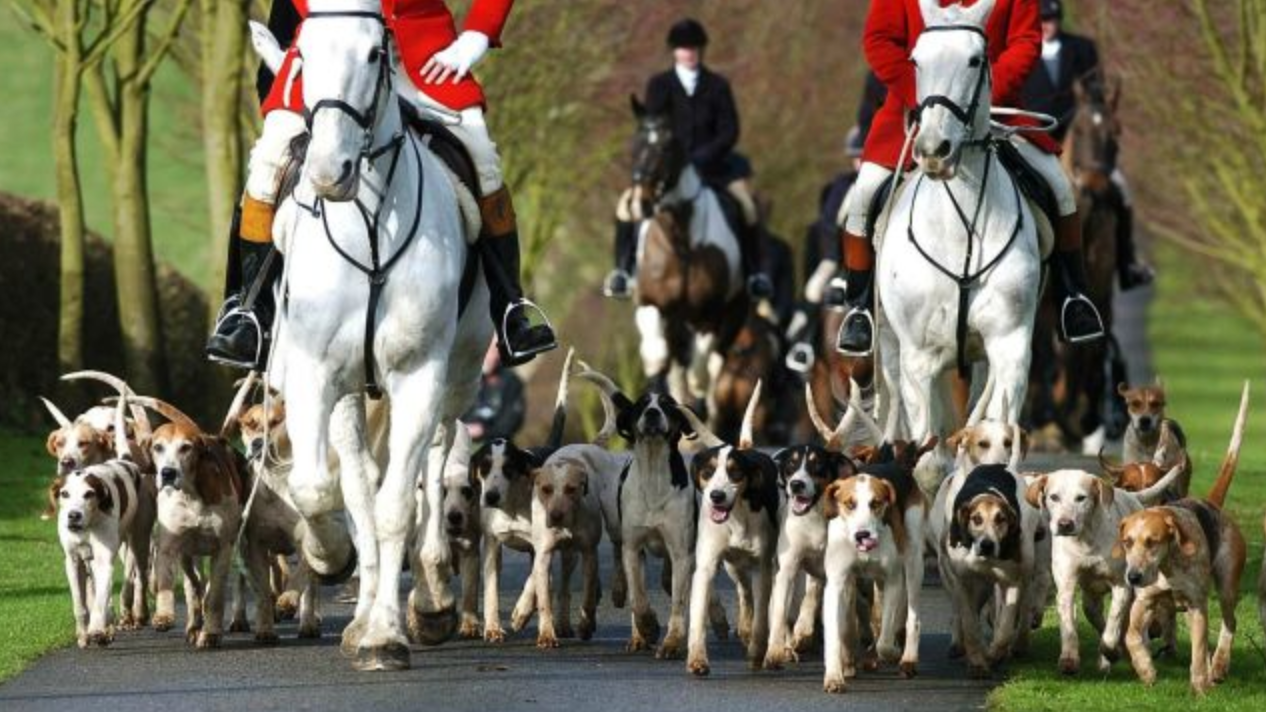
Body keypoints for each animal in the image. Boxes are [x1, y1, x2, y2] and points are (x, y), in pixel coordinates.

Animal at [272, 1, 493, 663]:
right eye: (302, 51)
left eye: (375, 53)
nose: (330, 172)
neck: (368, 222)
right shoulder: (313, 374)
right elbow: (319, 488)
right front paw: (330, 558)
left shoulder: (420, 374)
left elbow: (398, 504)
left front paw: (388, 633)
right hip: (350, 392)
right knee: (358, 480)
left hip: (457, 376)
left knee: (435, 463)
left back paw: (429, 597)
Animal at [876, 0, 1043, 438]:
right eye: (916, 60)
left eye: (974, 60)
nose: (935, 149)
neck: (961, 231)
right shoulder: (918, 359)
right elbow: (926, 447)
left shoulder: (1010, 346)